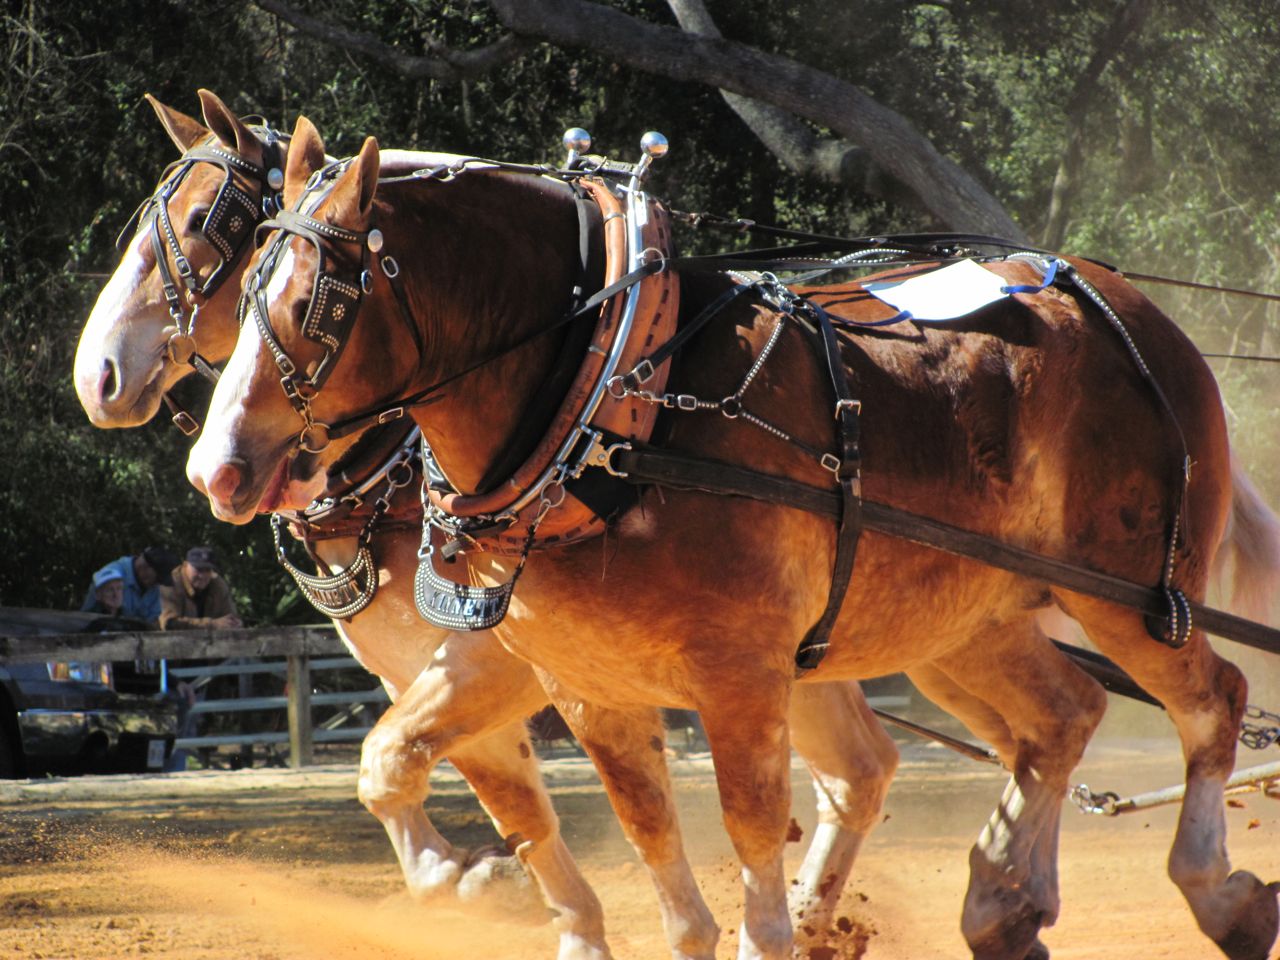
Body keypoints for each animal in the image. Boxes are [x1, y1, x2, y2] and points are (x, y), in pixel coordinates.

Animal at [73, 92, 903, 960]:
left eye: (209, 218)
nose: (98, 375)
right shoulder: (421, 669)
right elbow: (492, 796)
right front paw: (544, 908)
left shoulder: (494, 663)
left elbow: (389, 762)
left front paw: (480, 881)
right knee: (862, 766)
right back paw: (811, 919)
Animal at [185, 118, 1280, 960]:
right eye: (241, 288)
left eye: (314, 302)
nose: (216, 468)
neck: (619, 404)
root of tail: (1133, 313)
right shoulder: (590, 688)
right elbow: (647, 841)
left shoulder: (738, 677)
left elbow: (749, 831)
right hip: (964, 620)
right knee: (1061, 716)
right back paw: (1003, 903)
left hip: (1133, 597)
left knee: (1213, 703)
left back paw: (1216, 891)